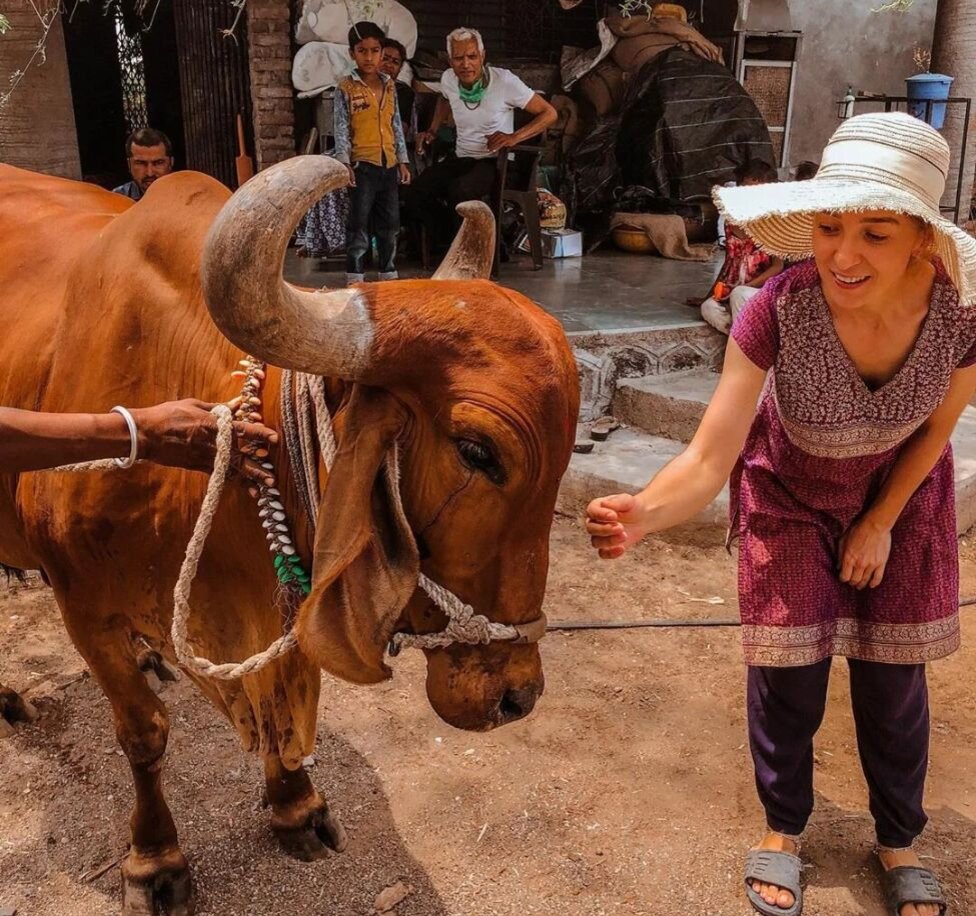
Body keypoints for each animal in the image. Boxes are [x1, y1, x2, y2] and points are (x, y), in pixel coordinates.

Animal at [0, 159, 580, 916]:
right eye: (477, 451)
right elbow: (144, 735)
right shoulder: (84, 612)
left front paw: (295, 805)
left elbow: (280, 712)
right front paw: (154, 860)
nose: (516, 698)